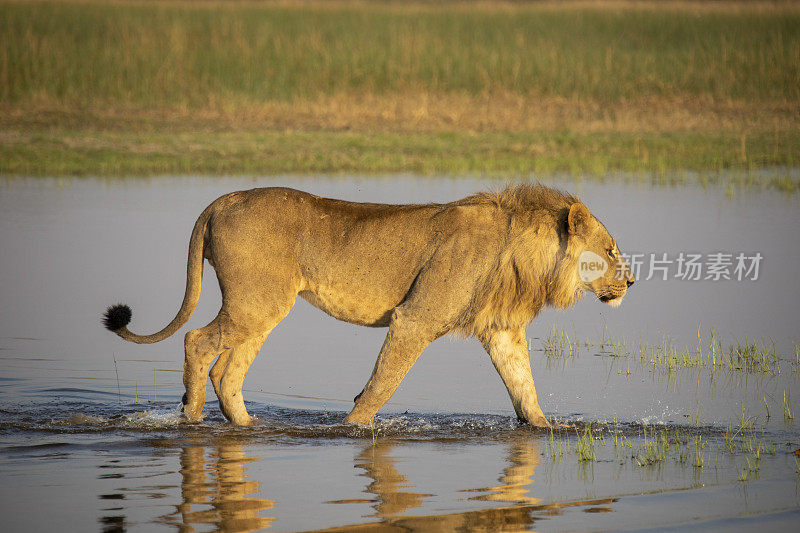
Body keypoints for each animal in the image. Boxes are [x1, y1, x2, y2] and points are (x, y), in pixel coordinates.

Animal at [103, 185, 636, 426]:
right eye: (611, 250)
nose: (632, 280)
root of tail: (221, 199)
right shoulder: (414, 319)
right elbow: (383, 384)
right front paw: (353, 429)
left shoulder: (502, 332)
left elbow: (525, 388)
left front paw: (547, 430)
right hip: (256, 304)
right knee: (197, 342)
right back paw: (191, 421)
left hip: (262, 310)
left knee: (226, 371)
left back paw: (248, 426)